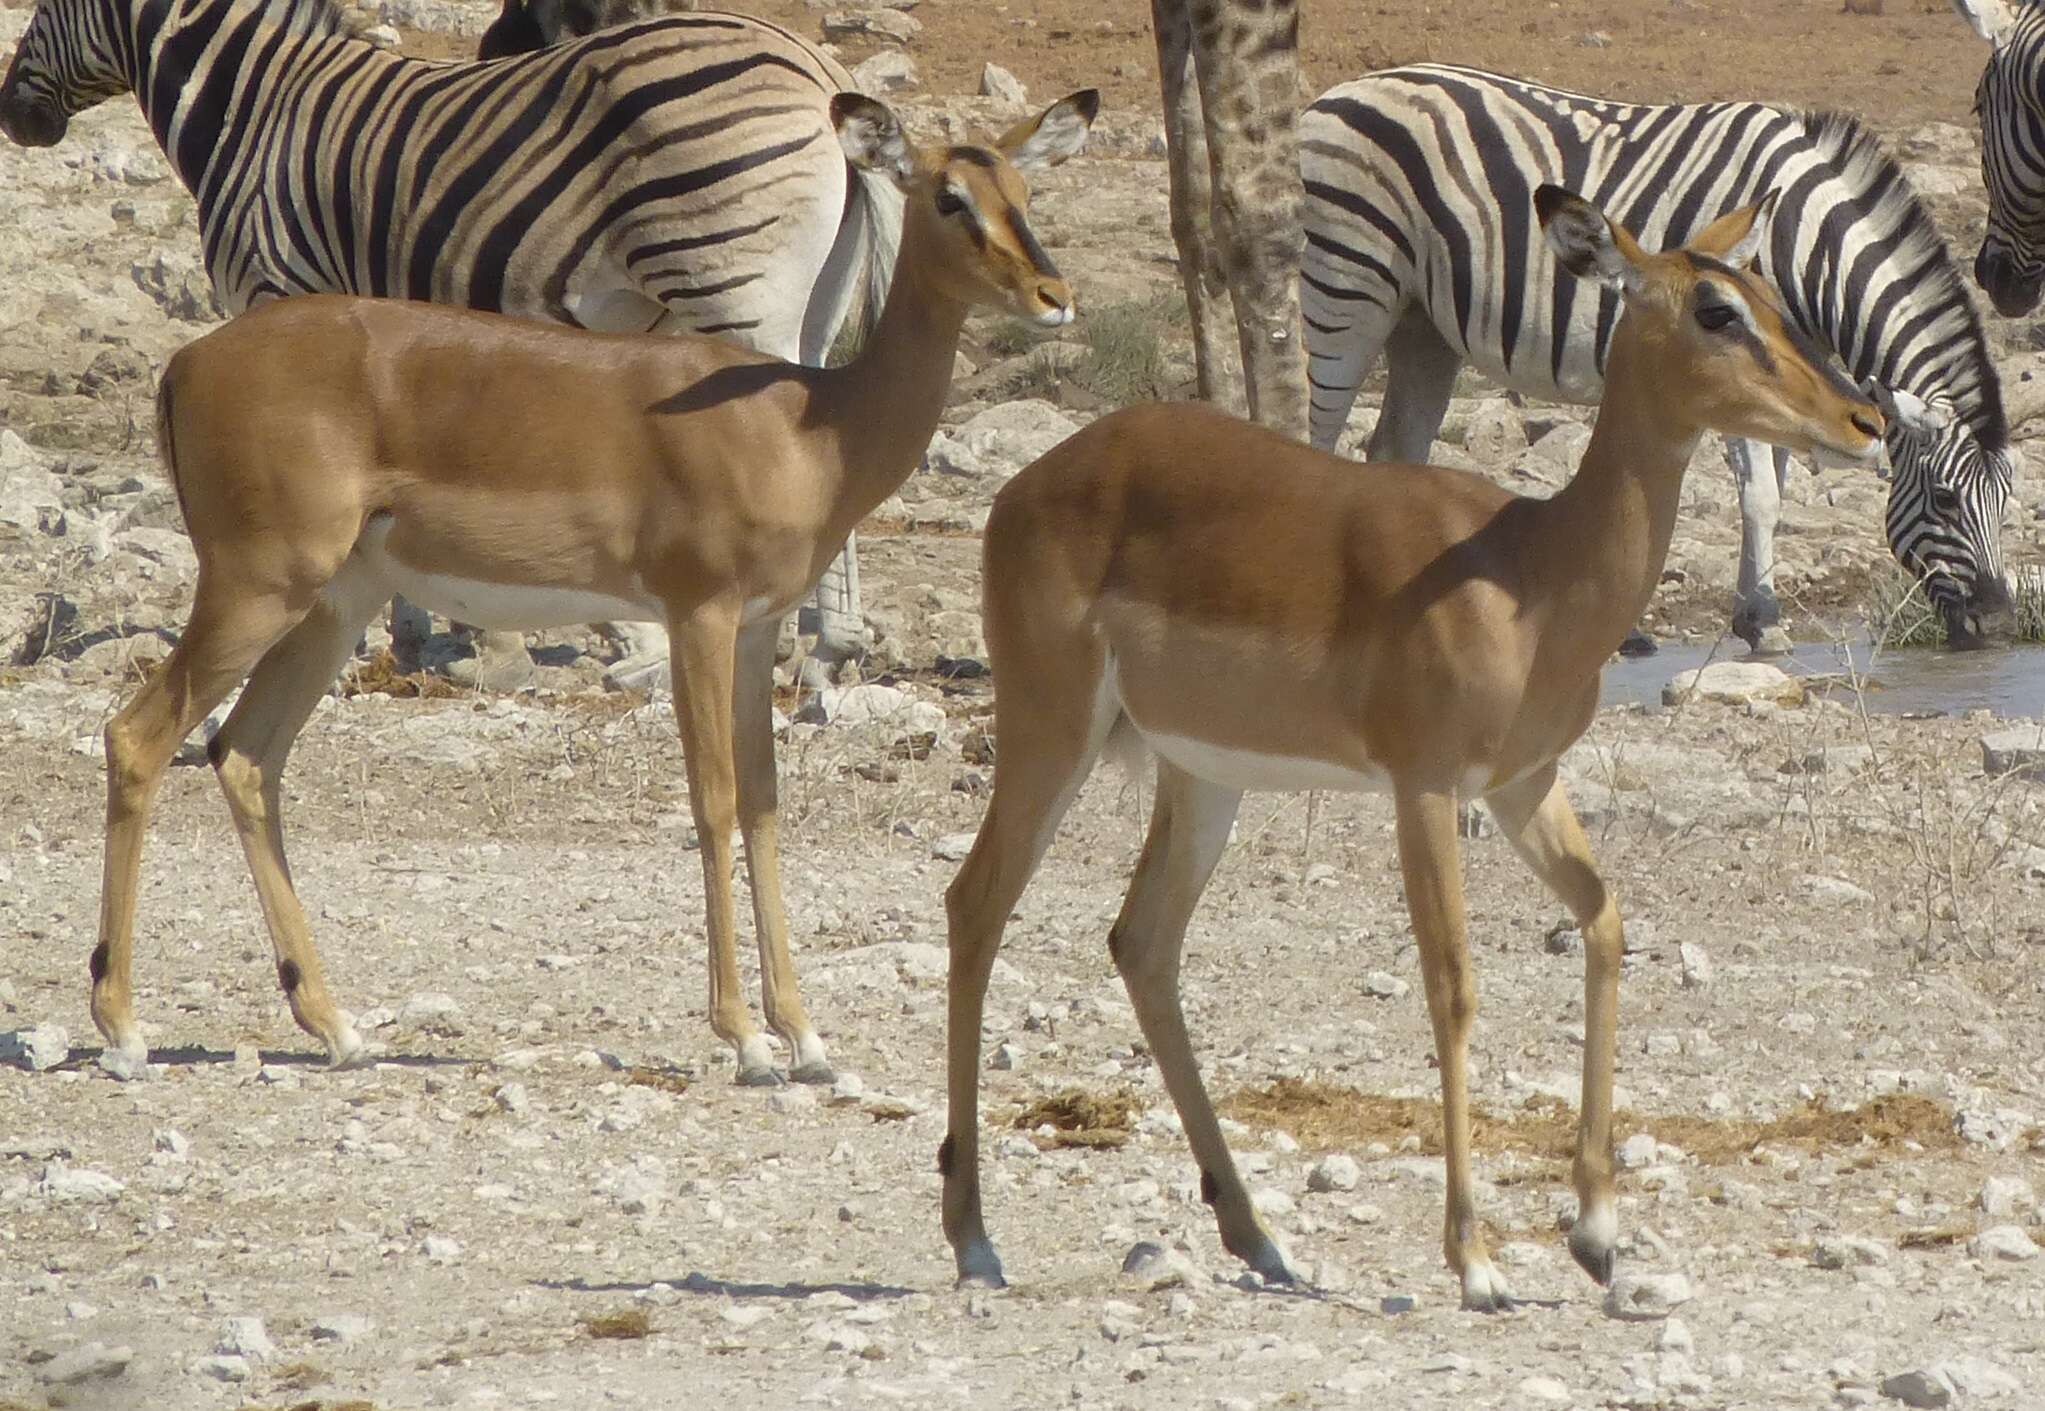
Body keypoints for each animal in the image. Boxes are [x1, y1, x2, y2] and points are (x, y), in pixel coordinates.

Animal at [0, 0, 899, 674]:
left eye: (42, 3)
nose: (14, 116)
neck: (247, 113)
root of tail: (815, 68)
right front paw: (417, 633)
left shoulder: (278, 289)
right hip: (811, 302)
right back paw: (832, 645)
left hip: (733, 283)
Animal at [1292, 60, 2012, 642]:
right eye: (1945, 499)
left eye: (2009, 501)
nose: (1998, 620)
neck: (1804, 243)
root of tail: (1334, 93)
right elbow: (1761, 495)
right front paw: (1765, 624)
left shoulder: (1785, 373)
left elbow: (1774, 491)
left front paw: (1754, 610)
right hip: (1348, 285)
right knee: (1318, 432)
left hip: (1422, 325)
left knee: (1394, 449)